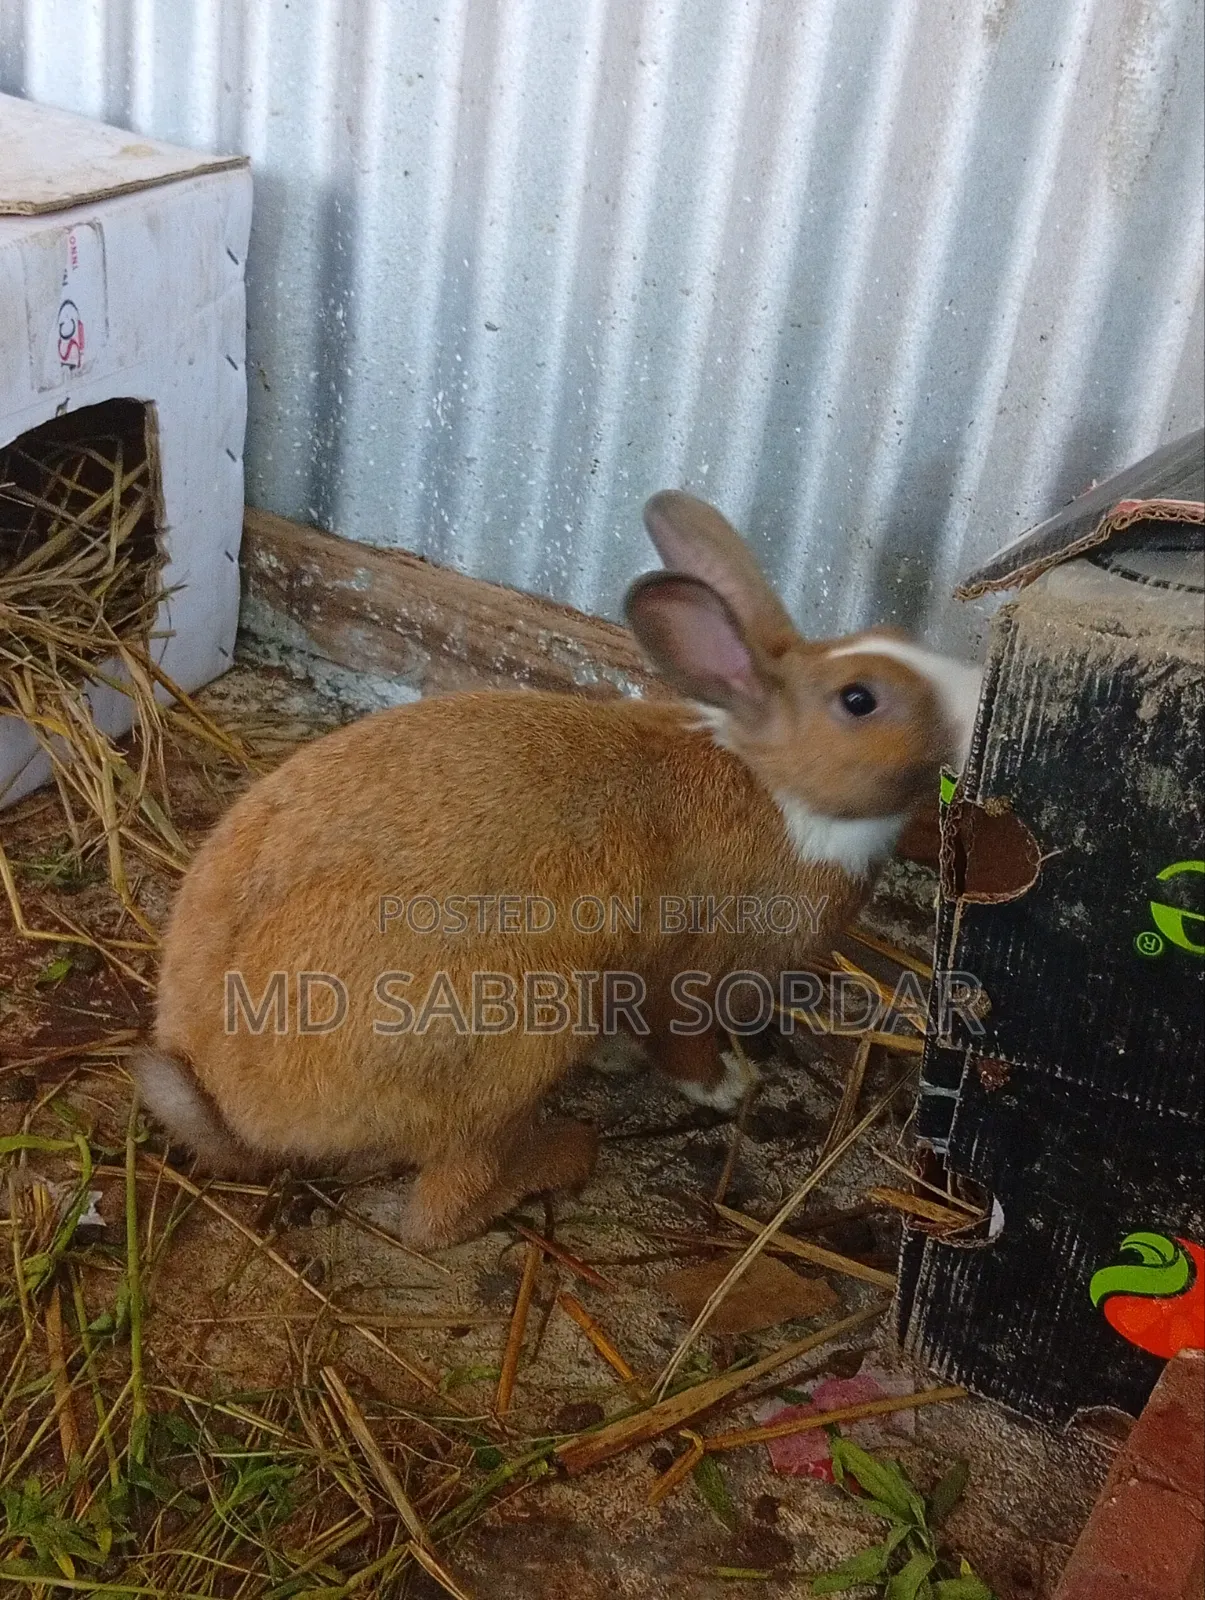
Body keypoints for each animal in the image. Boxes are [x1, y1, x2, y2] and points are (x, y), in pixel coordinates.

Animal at [133, 490, 982, 1248]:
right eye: (859, 699)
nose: (975, 699)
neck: (780, 789)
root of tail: (230, 1101)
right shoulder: (691, 974)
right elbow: (681, 1039)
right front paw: (729, 1087)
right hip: (515, 1038)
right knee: (436, 1216)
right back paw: (560, 1157)